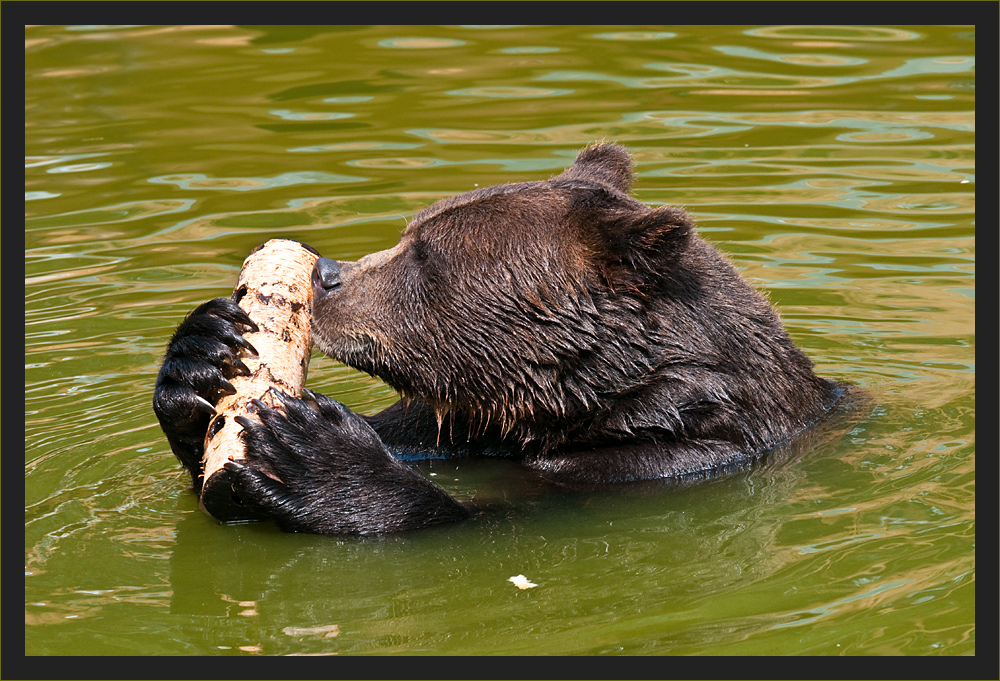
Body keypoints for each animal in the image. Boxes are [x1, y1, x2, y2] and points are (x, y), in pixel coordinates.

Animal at [154, 143, 852, 532]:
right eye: (412, 232)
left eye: (426, 254)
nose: (325, 273)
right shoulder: (462, 423)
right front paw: (202, 354)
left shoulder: (664, 468)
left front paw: (312, 451)